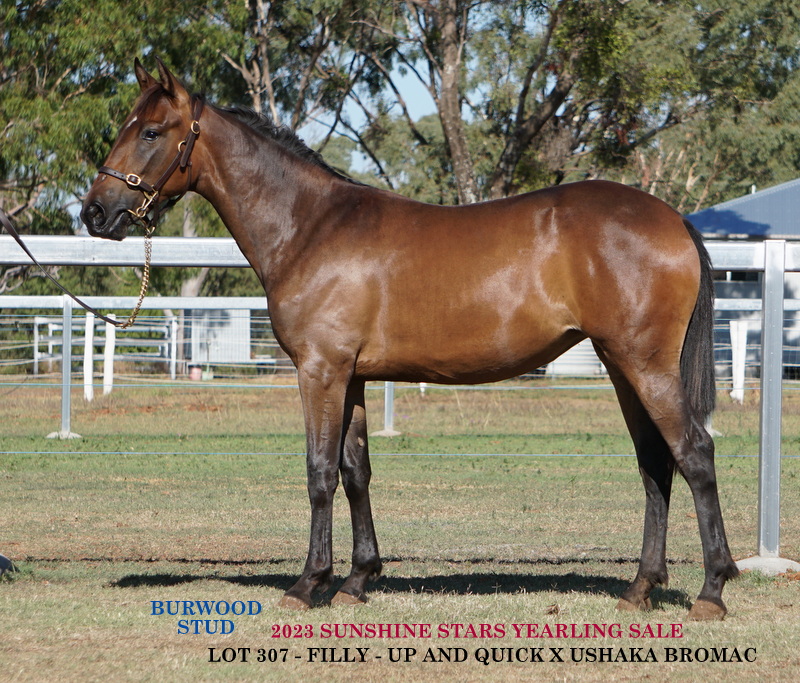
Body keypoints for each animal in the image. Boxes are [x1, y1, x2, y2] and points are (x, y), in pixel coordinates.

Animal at [81, 59, 738, 620]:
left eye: (152, 131)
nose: (94, 213)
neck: (309, 226)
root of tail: (675, 219)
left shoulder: (320, 371)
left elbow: (319, 472)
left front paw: (307, 584)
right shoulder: (351, 377)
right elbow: (355, 471)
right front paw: (356, 579)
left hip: (646, 365)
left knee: (694, 454)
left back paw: (712, 590)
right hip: (623, 366)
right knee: (655, 464)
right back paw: (641, 588)